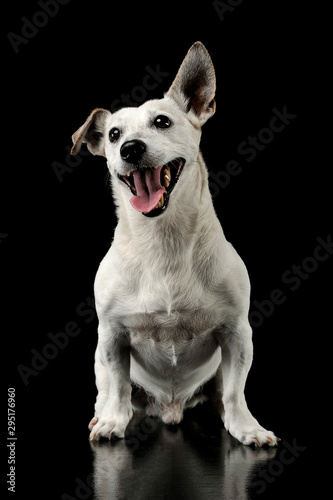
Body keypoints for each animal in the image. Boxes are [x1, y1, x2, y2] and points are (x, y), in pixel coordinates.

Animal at [72, 43, 278, 448]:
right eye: (114, 134)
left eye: (162, 122)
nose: (130, 149)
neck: (162, 238)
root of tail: (171, 408)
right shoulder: (112, 336)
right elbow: (119, 386)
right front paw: (113, 421)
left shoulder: (237, 333)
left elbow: (236, 391)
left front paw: (246, 428)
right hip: (98, 359)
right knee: (108, 390)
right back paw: (104, 415)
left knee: (221, 393)